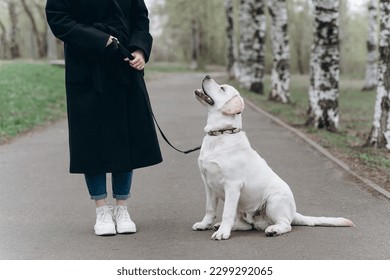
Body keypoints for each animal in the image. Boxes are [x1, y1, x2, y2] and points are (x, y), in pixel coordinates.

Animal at [192, 75, 354, 240]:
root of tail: (293, 213)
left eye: (222, 88)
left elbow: (226, 213)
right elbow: (210, 208)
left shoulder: (232, 184)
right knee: (246, 225)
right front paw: (204, 224)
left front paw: (223, 233)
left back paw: (273, 230)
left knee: (285, 224)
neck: (220, 134)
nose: (207, 76)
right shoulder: (207, 183)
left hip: (273, 200)